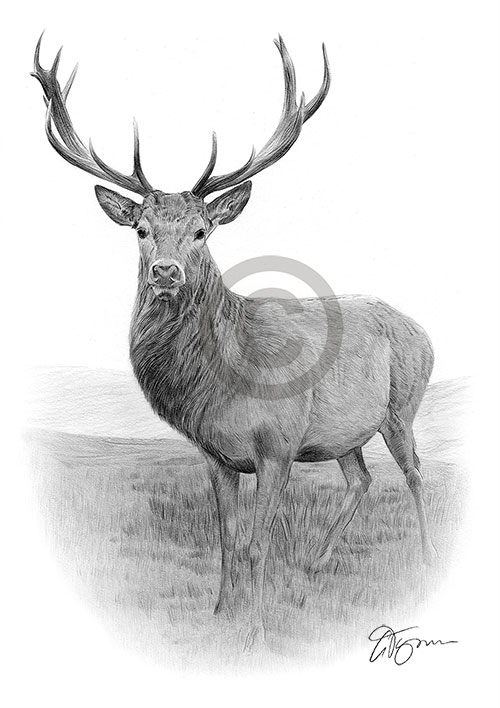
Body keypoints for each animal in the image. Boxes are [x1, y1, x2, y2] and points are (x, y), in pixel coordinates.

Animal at [32, 34, 437, 651]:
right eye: (141, 230)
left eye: (202, 231)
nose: (166, 271)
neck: (225, 379)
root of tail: (422, 330)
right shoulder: (218, 455)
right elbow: (227, 539)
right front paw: (222, 613)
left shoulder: (278, 445)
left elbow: (255, 541)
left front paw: (255, 628)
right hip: (344, 434)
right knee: (362, 480)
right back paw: (312, 569)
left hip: (402, 406)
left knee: (415, 474)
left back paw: (426, 560)